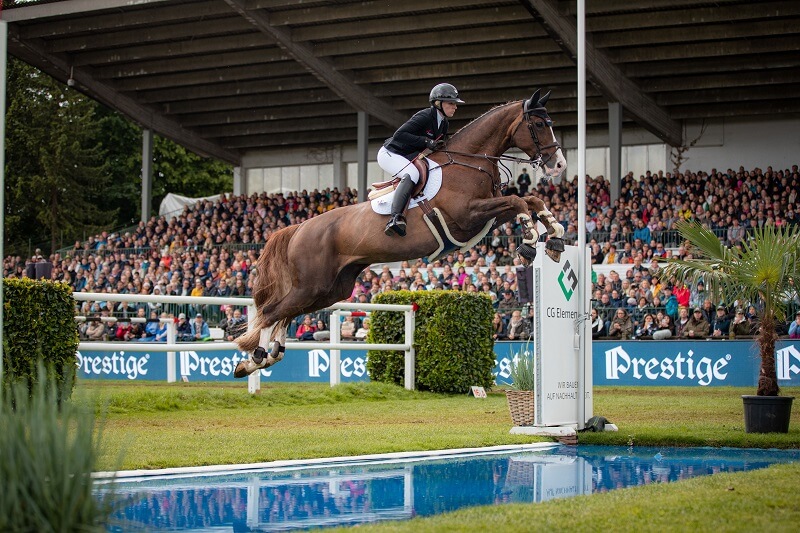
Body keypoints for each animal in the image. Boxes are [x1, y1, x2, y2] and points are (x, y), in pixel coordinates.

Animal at [234, 88, 564, 378]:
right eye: (538, 124)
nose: (559, 165)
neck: (471, 162)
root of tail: (299, 227)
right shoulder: (468, 214)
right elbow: (519, 201)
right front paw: (530, 242)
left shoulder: (486, 217)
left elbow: (531, 201)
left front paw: (556, 237)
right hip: (312, 285)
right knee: (271, 311)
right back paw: (256, 359)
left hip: (330, 289)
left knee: (285, 313)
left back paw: (265, 356)